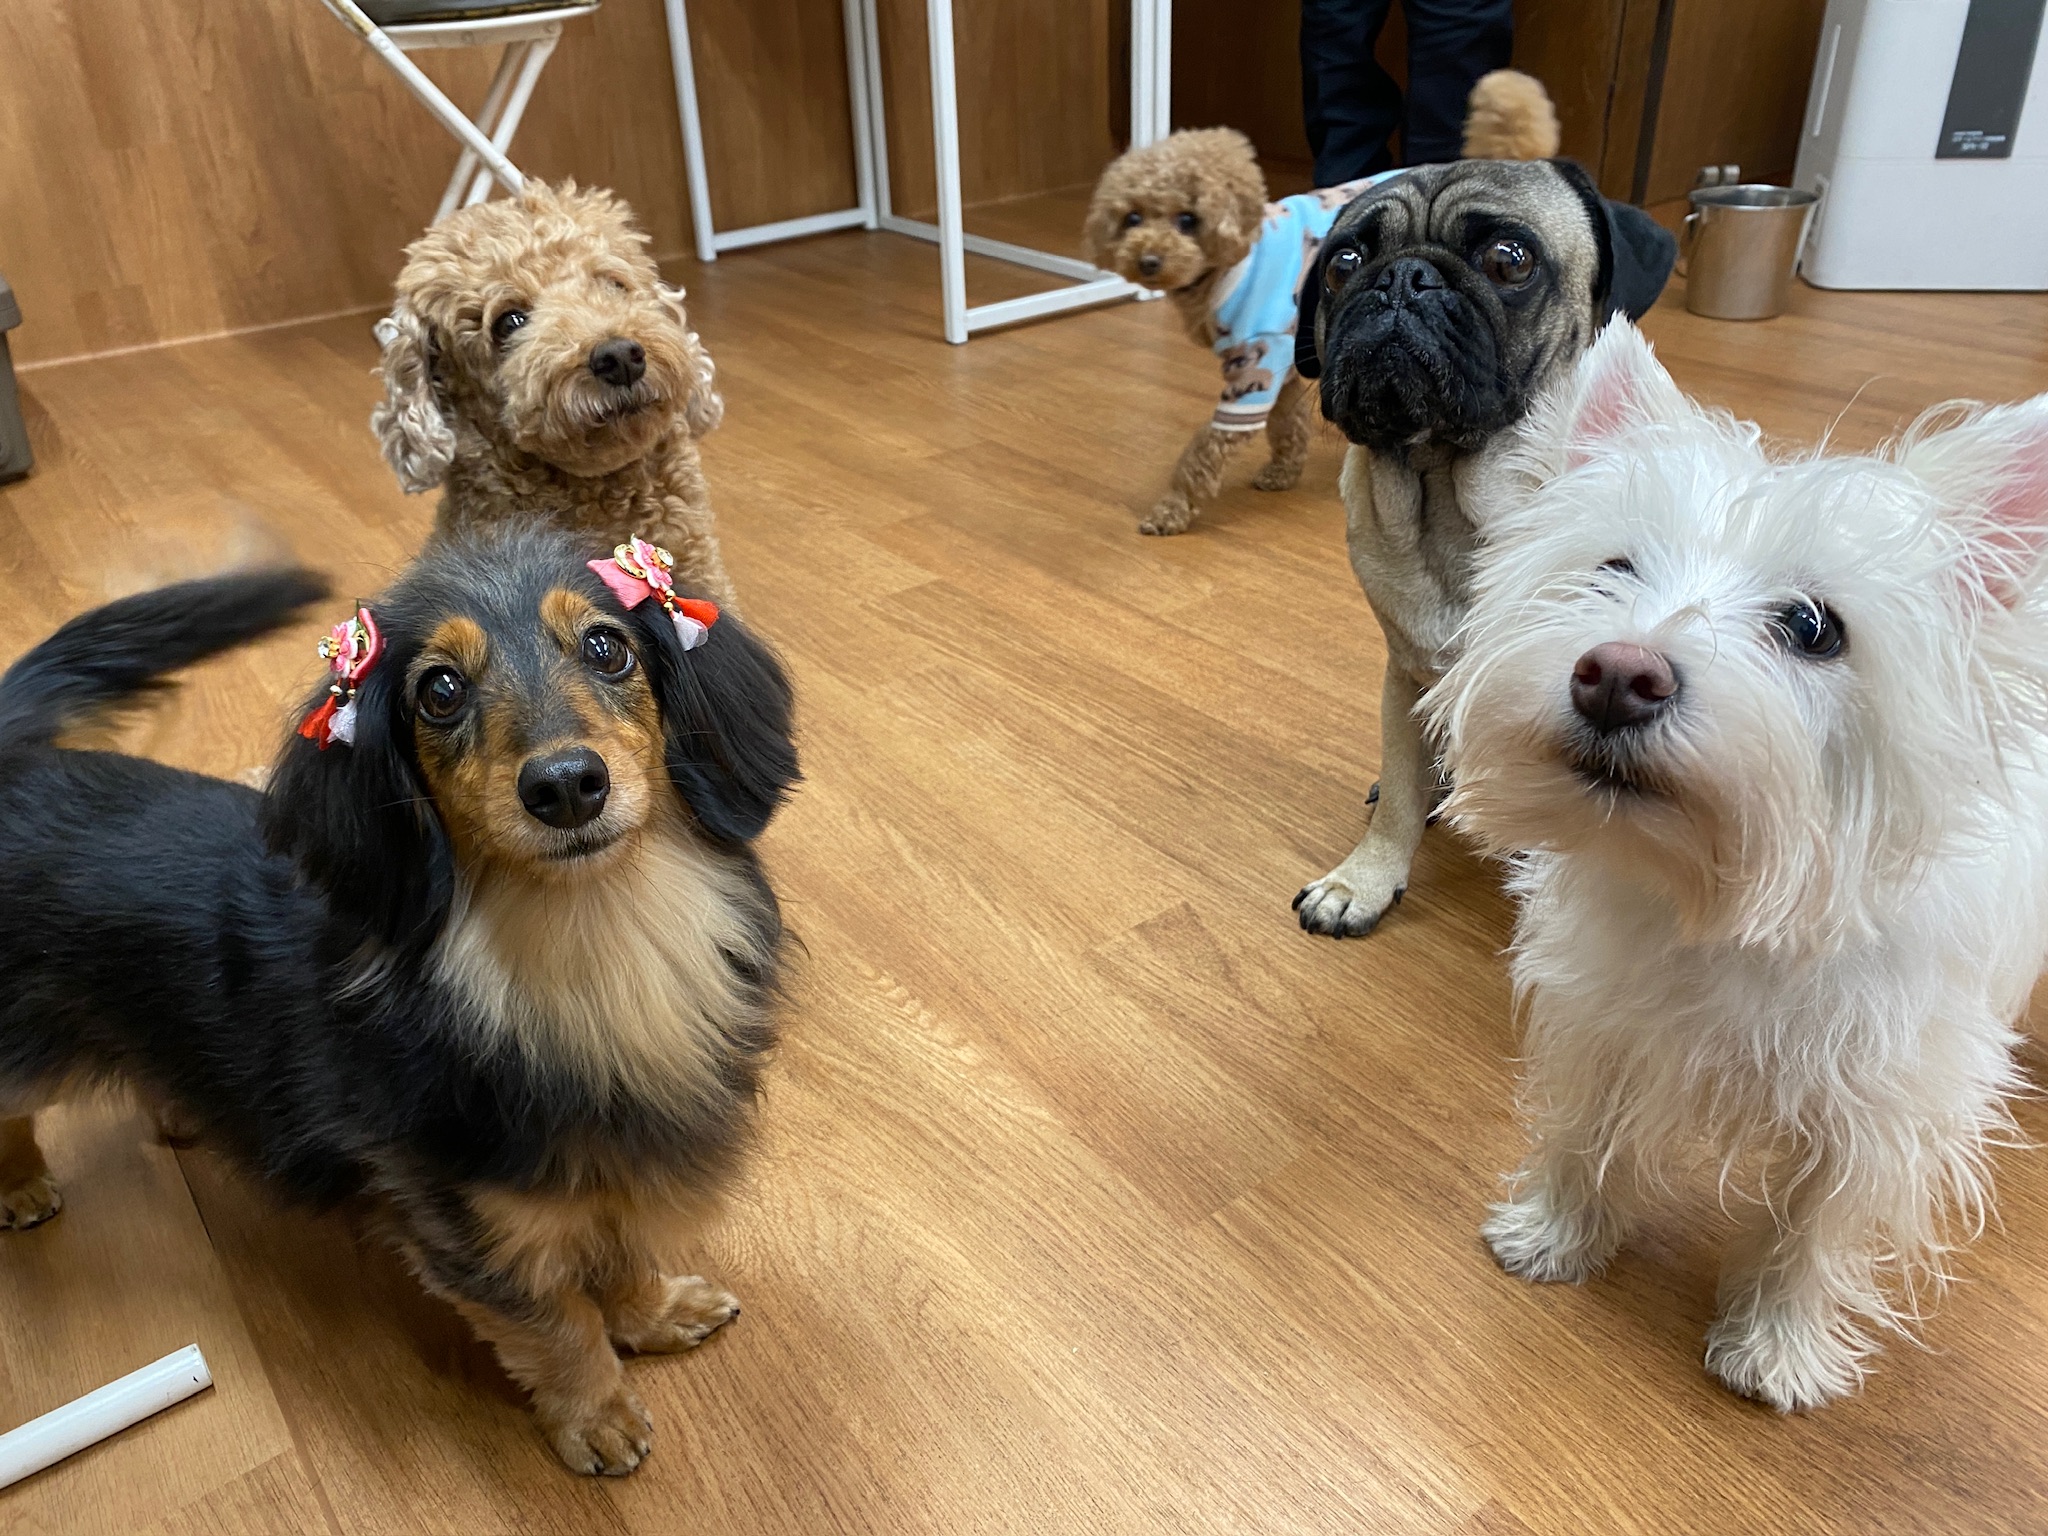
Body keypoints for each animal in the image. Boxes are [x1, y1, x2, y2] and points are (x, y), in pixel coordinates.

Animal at [0, 524, 798, 1473]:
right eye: (440, 692)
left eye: (609, 647)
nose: (567, 786)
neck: (587, 957)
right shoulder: (472, 1225)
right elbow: (558, 1325)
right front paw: (596, 1416)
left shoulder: (605, 1161)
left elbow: (620, 1257)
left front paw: (655, 1313)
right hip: (22, 1055)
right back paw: (20, 1186)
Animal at [1082, 71, 1560, 537]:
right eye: (1132, 218)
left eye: (1187, 220)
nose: (1148, 261)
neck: (1231, 262)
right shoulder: (1289, 365)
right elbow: (1287, 424)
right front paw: (1281, 472)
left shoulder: (1253, 371)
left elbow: (1202, 453)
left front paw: (1170, 511)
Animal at [1289, 155, 1676, 938]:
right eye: (1346, 262)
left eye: (1509, 260)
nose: (1403, 278)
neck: (1450, 501)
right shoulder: (1407, 681)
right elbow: (1401, 799)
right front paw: (1363, 880)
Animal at [1430, 319, 2048, 1411]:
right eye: (1614, 566)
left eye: (1813, 627)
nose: (1616, 675)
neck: (1728, 902)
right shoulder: (1601, 1018)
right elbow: (1582, 1131)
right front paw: (1552, 1236)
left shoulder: (1880, 1109)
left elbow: (1816, 1231)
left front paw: (1778, 1350)